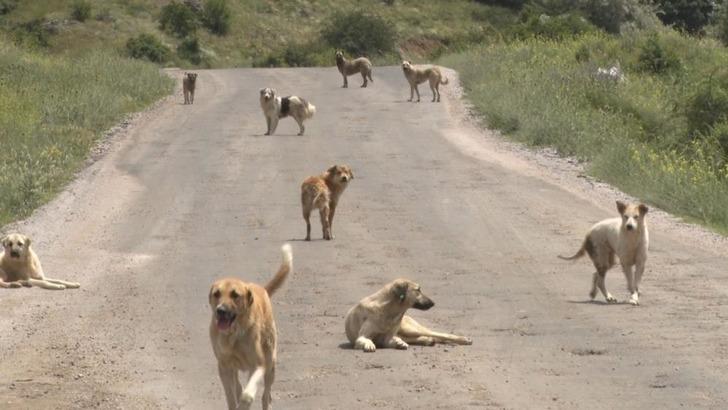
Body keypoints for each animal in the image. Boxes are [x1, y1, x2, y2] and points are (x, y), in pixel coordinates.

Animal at [208, 243, 292, 410]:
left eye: (235, 295)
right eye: (216, 293)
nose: (220, 310)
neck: (234, 334)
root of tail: (261, 288)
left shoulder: (259, 366)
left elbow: (247, 395)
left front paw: (244, 403)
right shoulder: (224, 366)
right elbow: (231, 396)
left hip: (271, 364)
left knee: (266, 396)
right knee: (239, 386)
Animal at [346, 278, 474, 352]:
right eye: (418, 290)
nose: (433, 303)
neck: (388, 310)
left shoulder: (388, 338)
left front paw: (399, 343)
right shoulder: (362, 337)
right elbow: (365, 339)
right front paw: (369, 344)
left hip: (410, 329)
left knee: (440, 335)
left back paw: (463, 339)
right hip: (408, 332)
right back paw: (426, 340)